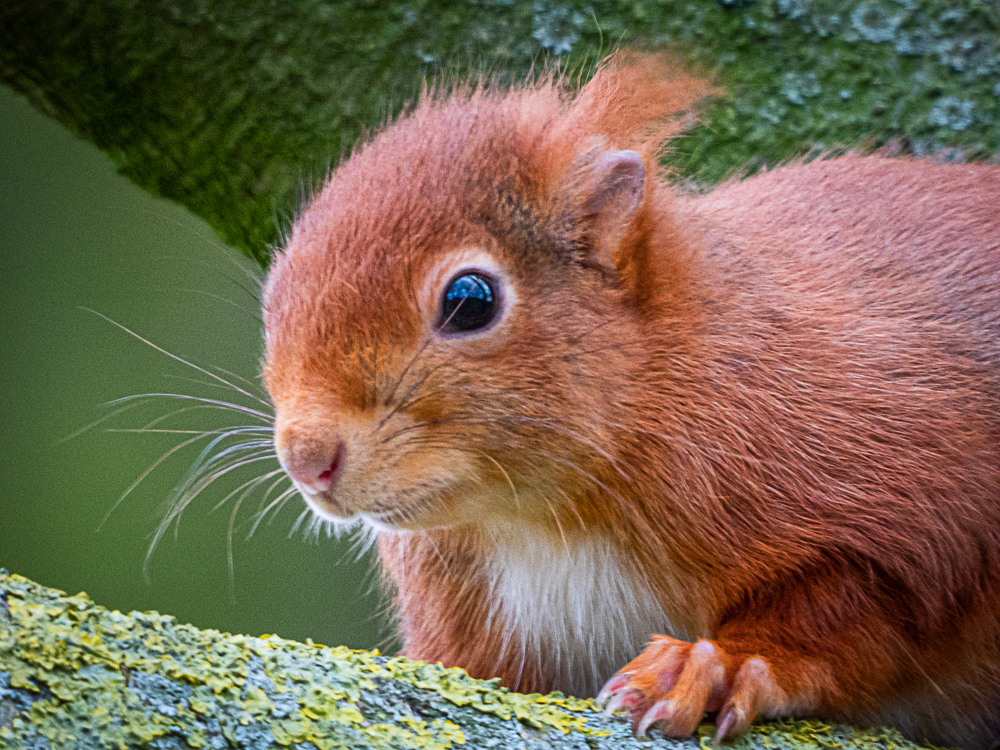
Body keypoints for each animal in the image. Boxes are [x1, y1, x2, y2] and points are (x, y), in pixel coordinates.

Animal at [262, 55, 1000, 748]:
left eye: (470, 300)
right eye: (274, 292)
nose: (308, 459)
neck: (542, 520)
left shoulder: (901, 480)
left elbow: (862, 604)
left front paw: (713, 665)